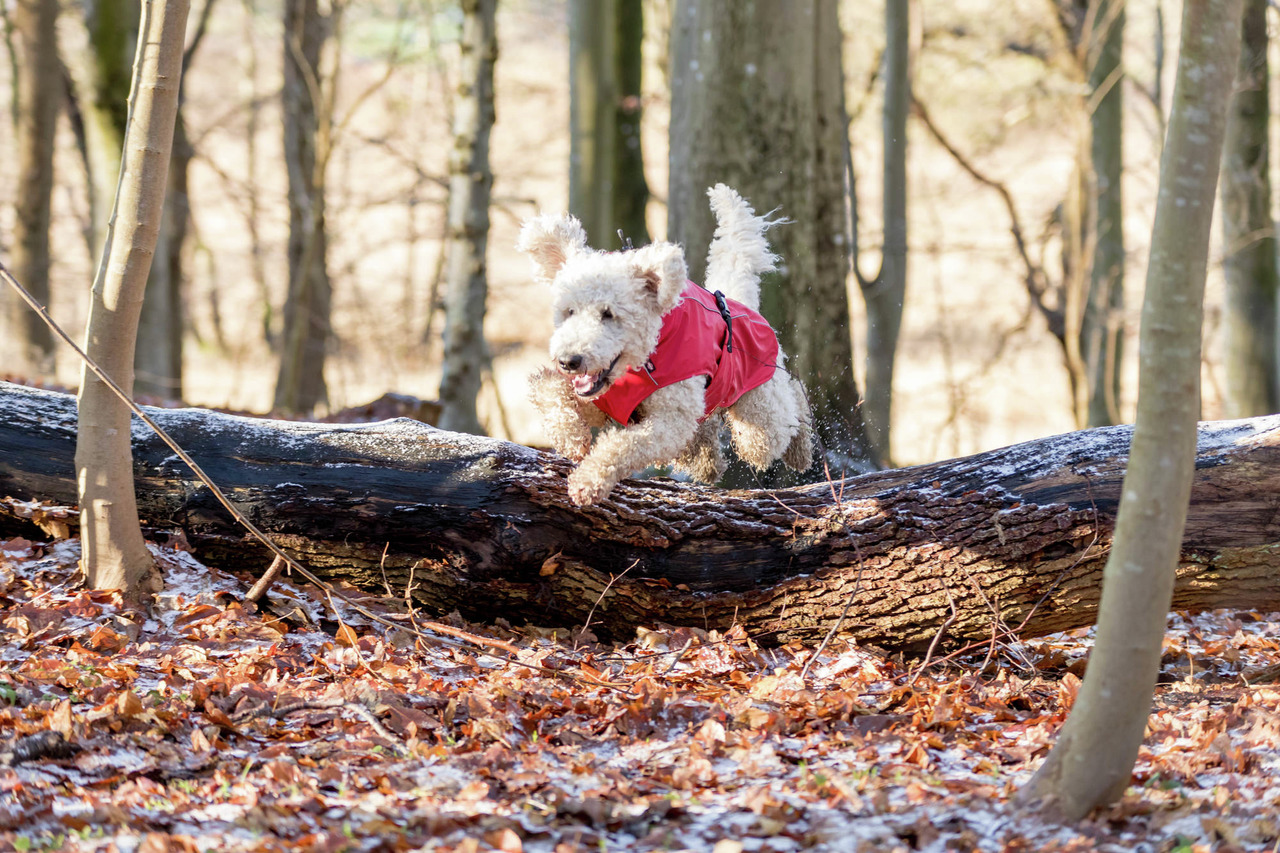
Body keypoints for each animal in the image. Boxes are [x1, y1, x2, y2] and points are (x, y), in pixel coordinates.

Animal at [517, 184, 808, 504]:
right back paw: (707, 460)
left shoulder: (670, 422)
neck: (643, 360)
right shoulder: (600, 402)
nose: (569, 361)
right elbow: (547, 386)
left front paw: (588, 481)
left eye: (608, 313)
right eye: (569, 311)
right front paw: (570, 436)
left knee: (785, 415)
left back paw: (801, 446)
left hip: (760, 412)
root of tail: (740, 303)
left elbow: (623, 445)